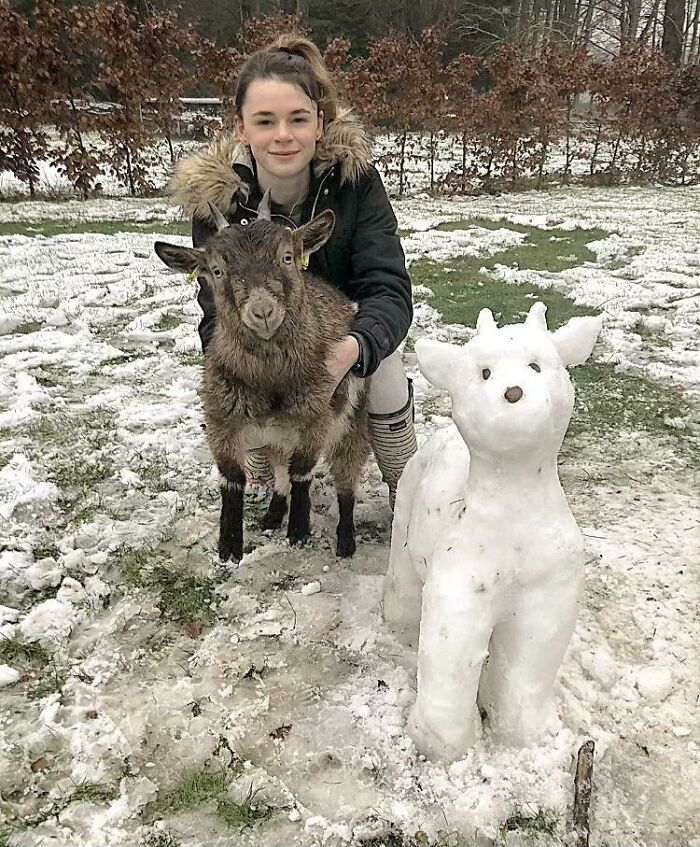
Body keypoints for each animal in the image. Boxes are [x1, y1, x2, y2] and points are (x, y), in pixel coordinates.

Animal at [154, 192, 369, 562]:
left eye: (287, 256)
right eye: (217, 270)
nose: (263, 312)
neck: (271, 383)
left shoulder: (316, 419)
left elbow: (302, 472)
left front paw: (299, 530)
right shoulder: (222, 423)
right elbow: (232, 479)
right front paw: (229, 544)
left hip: (351, 423)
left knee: (345, 477)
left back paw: (345, 540)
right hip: (274, 439)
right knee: (280, 474)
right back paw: (272, 515)